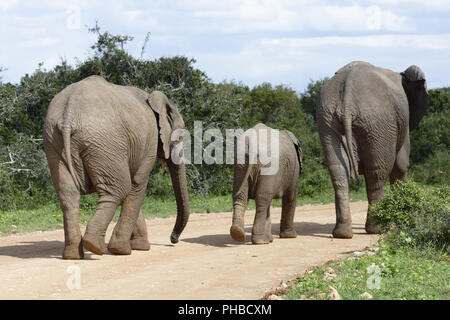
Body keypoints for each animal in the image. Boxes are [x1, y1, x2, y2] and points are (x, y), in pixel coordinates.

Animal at [43, 75, 189, 260]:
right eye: (180, 137)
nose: (173, 239)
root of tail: (68, 114)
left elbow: (133, 188)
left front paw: (139, 247)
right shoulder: (149, 140)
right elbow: (137, 184)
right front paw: (126, 250)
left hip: (54, 142)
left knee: (68, 195)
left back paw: (73, 255)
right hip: (104, 141)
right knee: (118, 189)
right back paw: (95, 246)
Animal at [316, 61, 428, 239]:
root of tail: (347, 98)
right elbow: (401, 165)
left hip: (327, 119)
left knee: (338, 171)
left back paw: (342, 234)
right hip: (379, 123)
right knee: (377, 174)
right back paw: (378, 229)